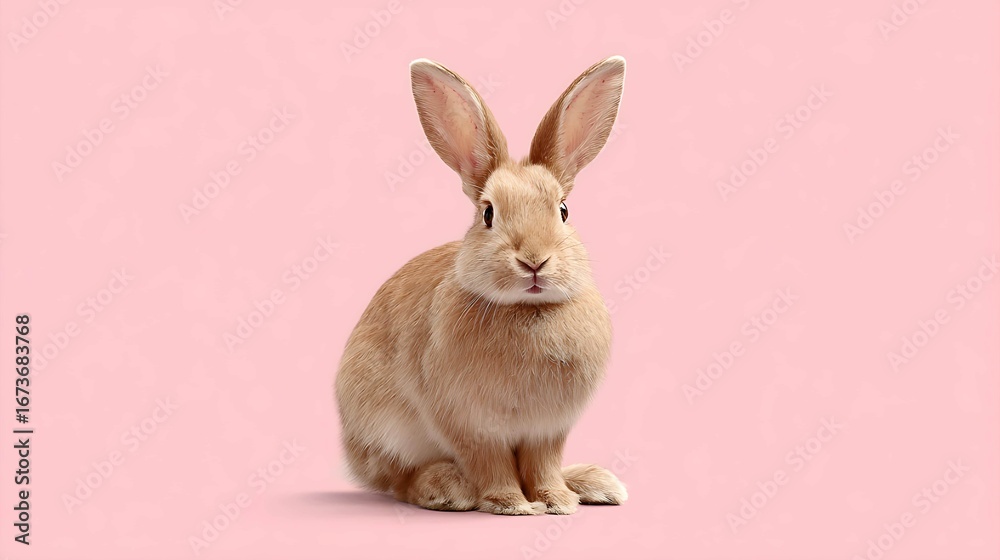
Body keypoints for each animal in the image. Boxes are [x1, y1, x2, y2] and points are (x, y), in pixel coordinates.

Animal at [334, 56, 627, 515]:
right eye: (488, 214)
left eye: (564, 210)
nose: (534, 260)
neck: (527, 310)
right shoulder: (470, 426)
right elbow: (491, 465)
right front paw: (512, 505)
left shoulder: (548, 431)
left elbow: (543, 467)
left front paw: (557, 501)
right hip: (383, 429)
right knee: (399, 480)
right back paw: (446, 487)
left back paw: (593, 483)